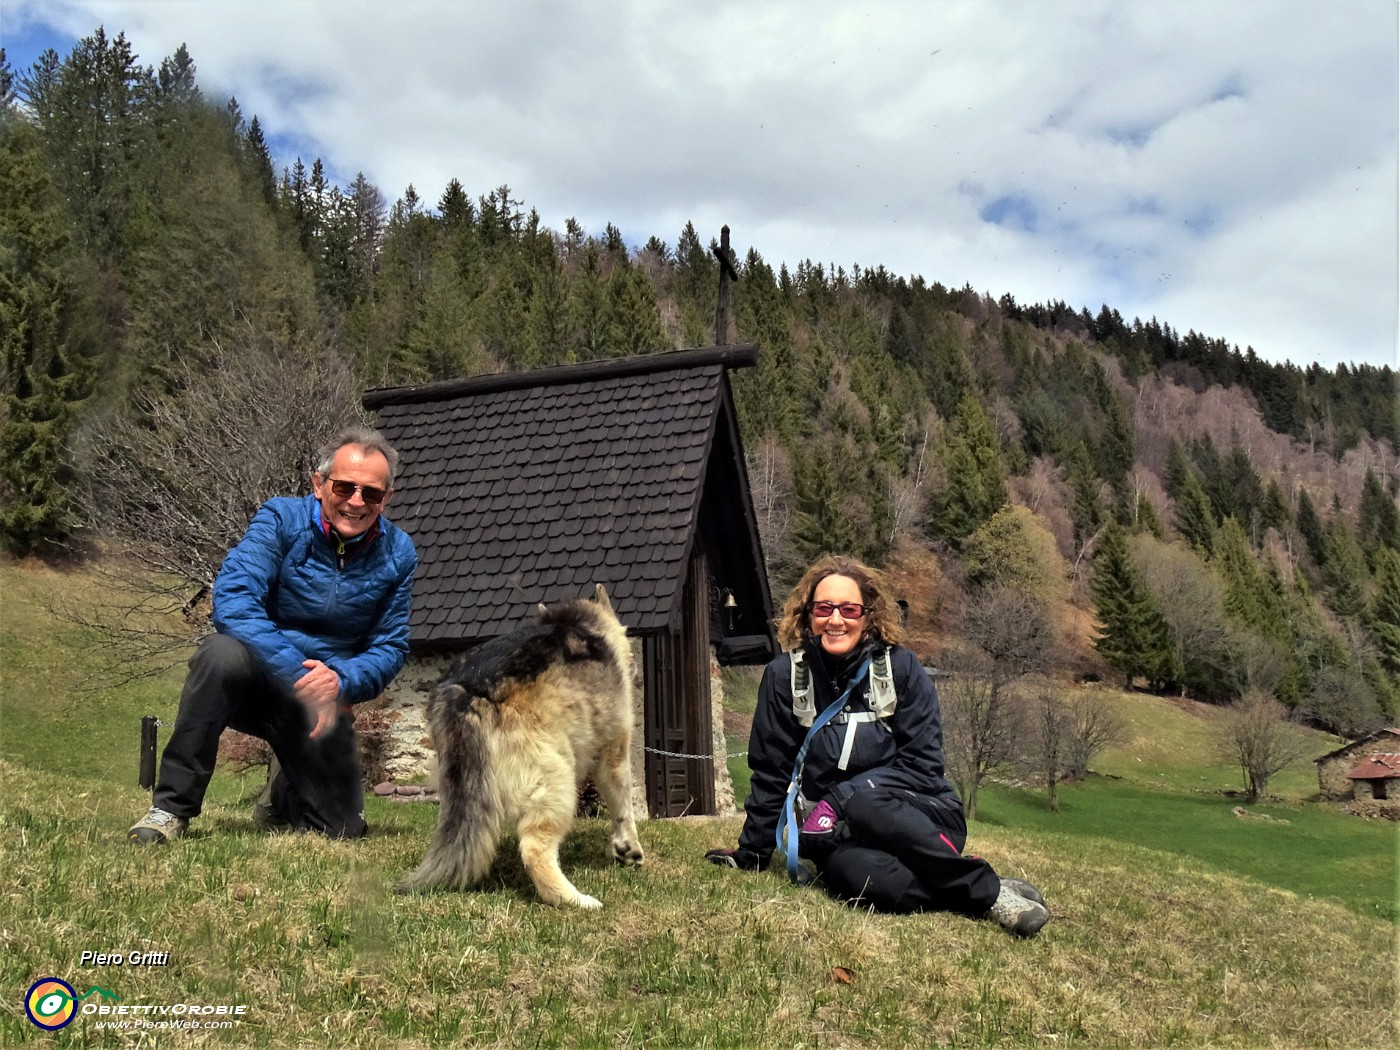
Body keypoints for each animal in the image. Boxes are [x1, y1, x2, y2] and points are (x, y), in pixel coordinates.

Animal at [394, 588, 644, 907]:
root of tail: (468, 692)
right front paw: (628, 847)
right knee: (534, 850)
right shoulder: (614, 751)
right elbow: (622, 803)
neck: (585, 623)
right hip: (555, 782)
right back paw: (573, 899)